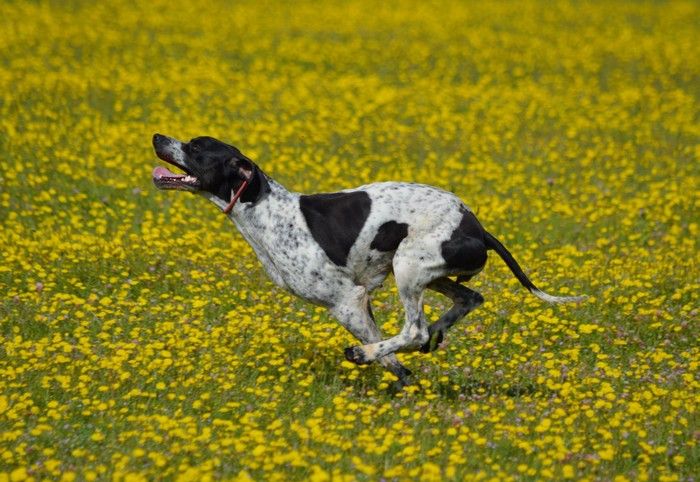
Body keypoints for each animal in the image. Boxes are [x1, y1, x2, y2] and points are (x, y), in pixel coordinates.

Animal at [152, 134, 584, 386]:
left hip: (409, 267)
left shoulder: (347, 302)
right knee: (468, 299)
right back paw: (437, 333)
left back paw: (371, 353)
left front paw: (388, 368)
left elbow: (385, 350)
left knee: (415, 331)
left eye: (195, 148)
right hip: (425, 271)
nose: (158, 136)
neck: (267, 210)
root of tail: (477, 227)